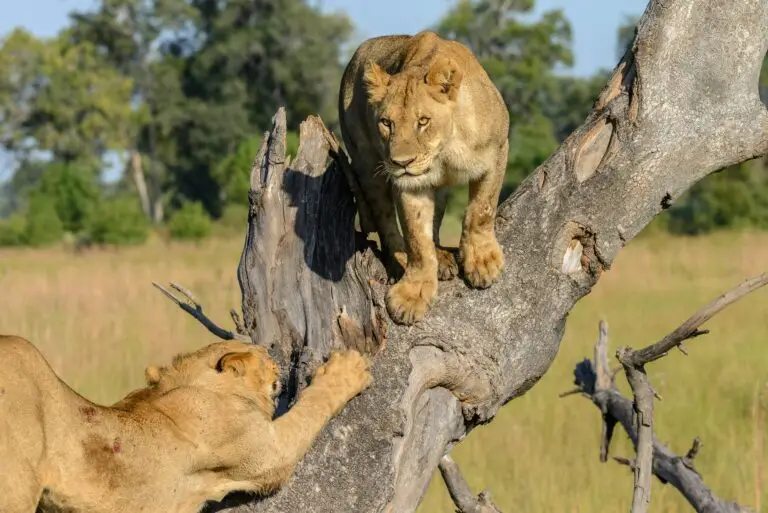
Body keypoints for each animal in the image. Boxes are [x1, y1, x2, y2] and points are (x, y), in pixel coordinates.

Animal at [0, 335, 371, 512]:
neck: (193, 385)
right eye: (263, 355)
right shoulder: (267, 453)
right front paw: (347, 370)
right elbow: (312, 406)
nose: (275, 357)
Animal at [338, 30, 510, 325]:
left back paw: (442, 256)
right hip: (366, 163)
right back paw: (402, 261)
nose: (401, 162)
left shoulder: (498, 150)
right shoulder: (411, 184)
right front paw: (412, 293)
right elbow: (417, 238)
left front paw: (483, 261)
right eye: (386, 123)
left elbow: (481, 209)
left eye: (423, 121)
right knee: (386, 221)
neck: (445, 149)